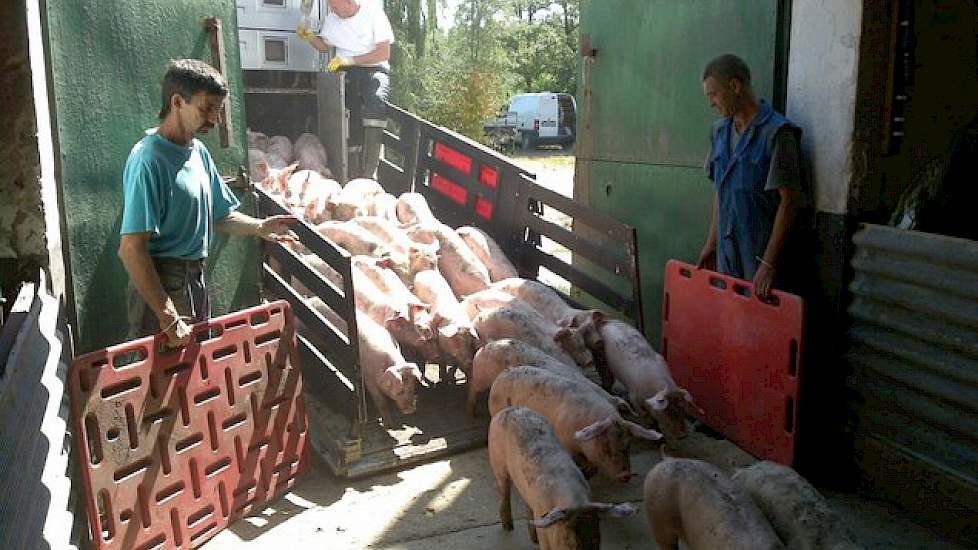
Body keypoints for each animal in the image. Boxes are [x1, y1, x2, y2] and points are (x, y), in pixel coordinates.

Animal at [486, 408, 632, 548]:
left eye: (597, 528)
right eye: (568, 535)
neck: (574, 501)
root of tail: (506, 410)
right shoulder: (542, 523)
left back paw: (533, 539)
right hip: (496, 459)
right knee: (504, 490)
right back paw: (508, 528)